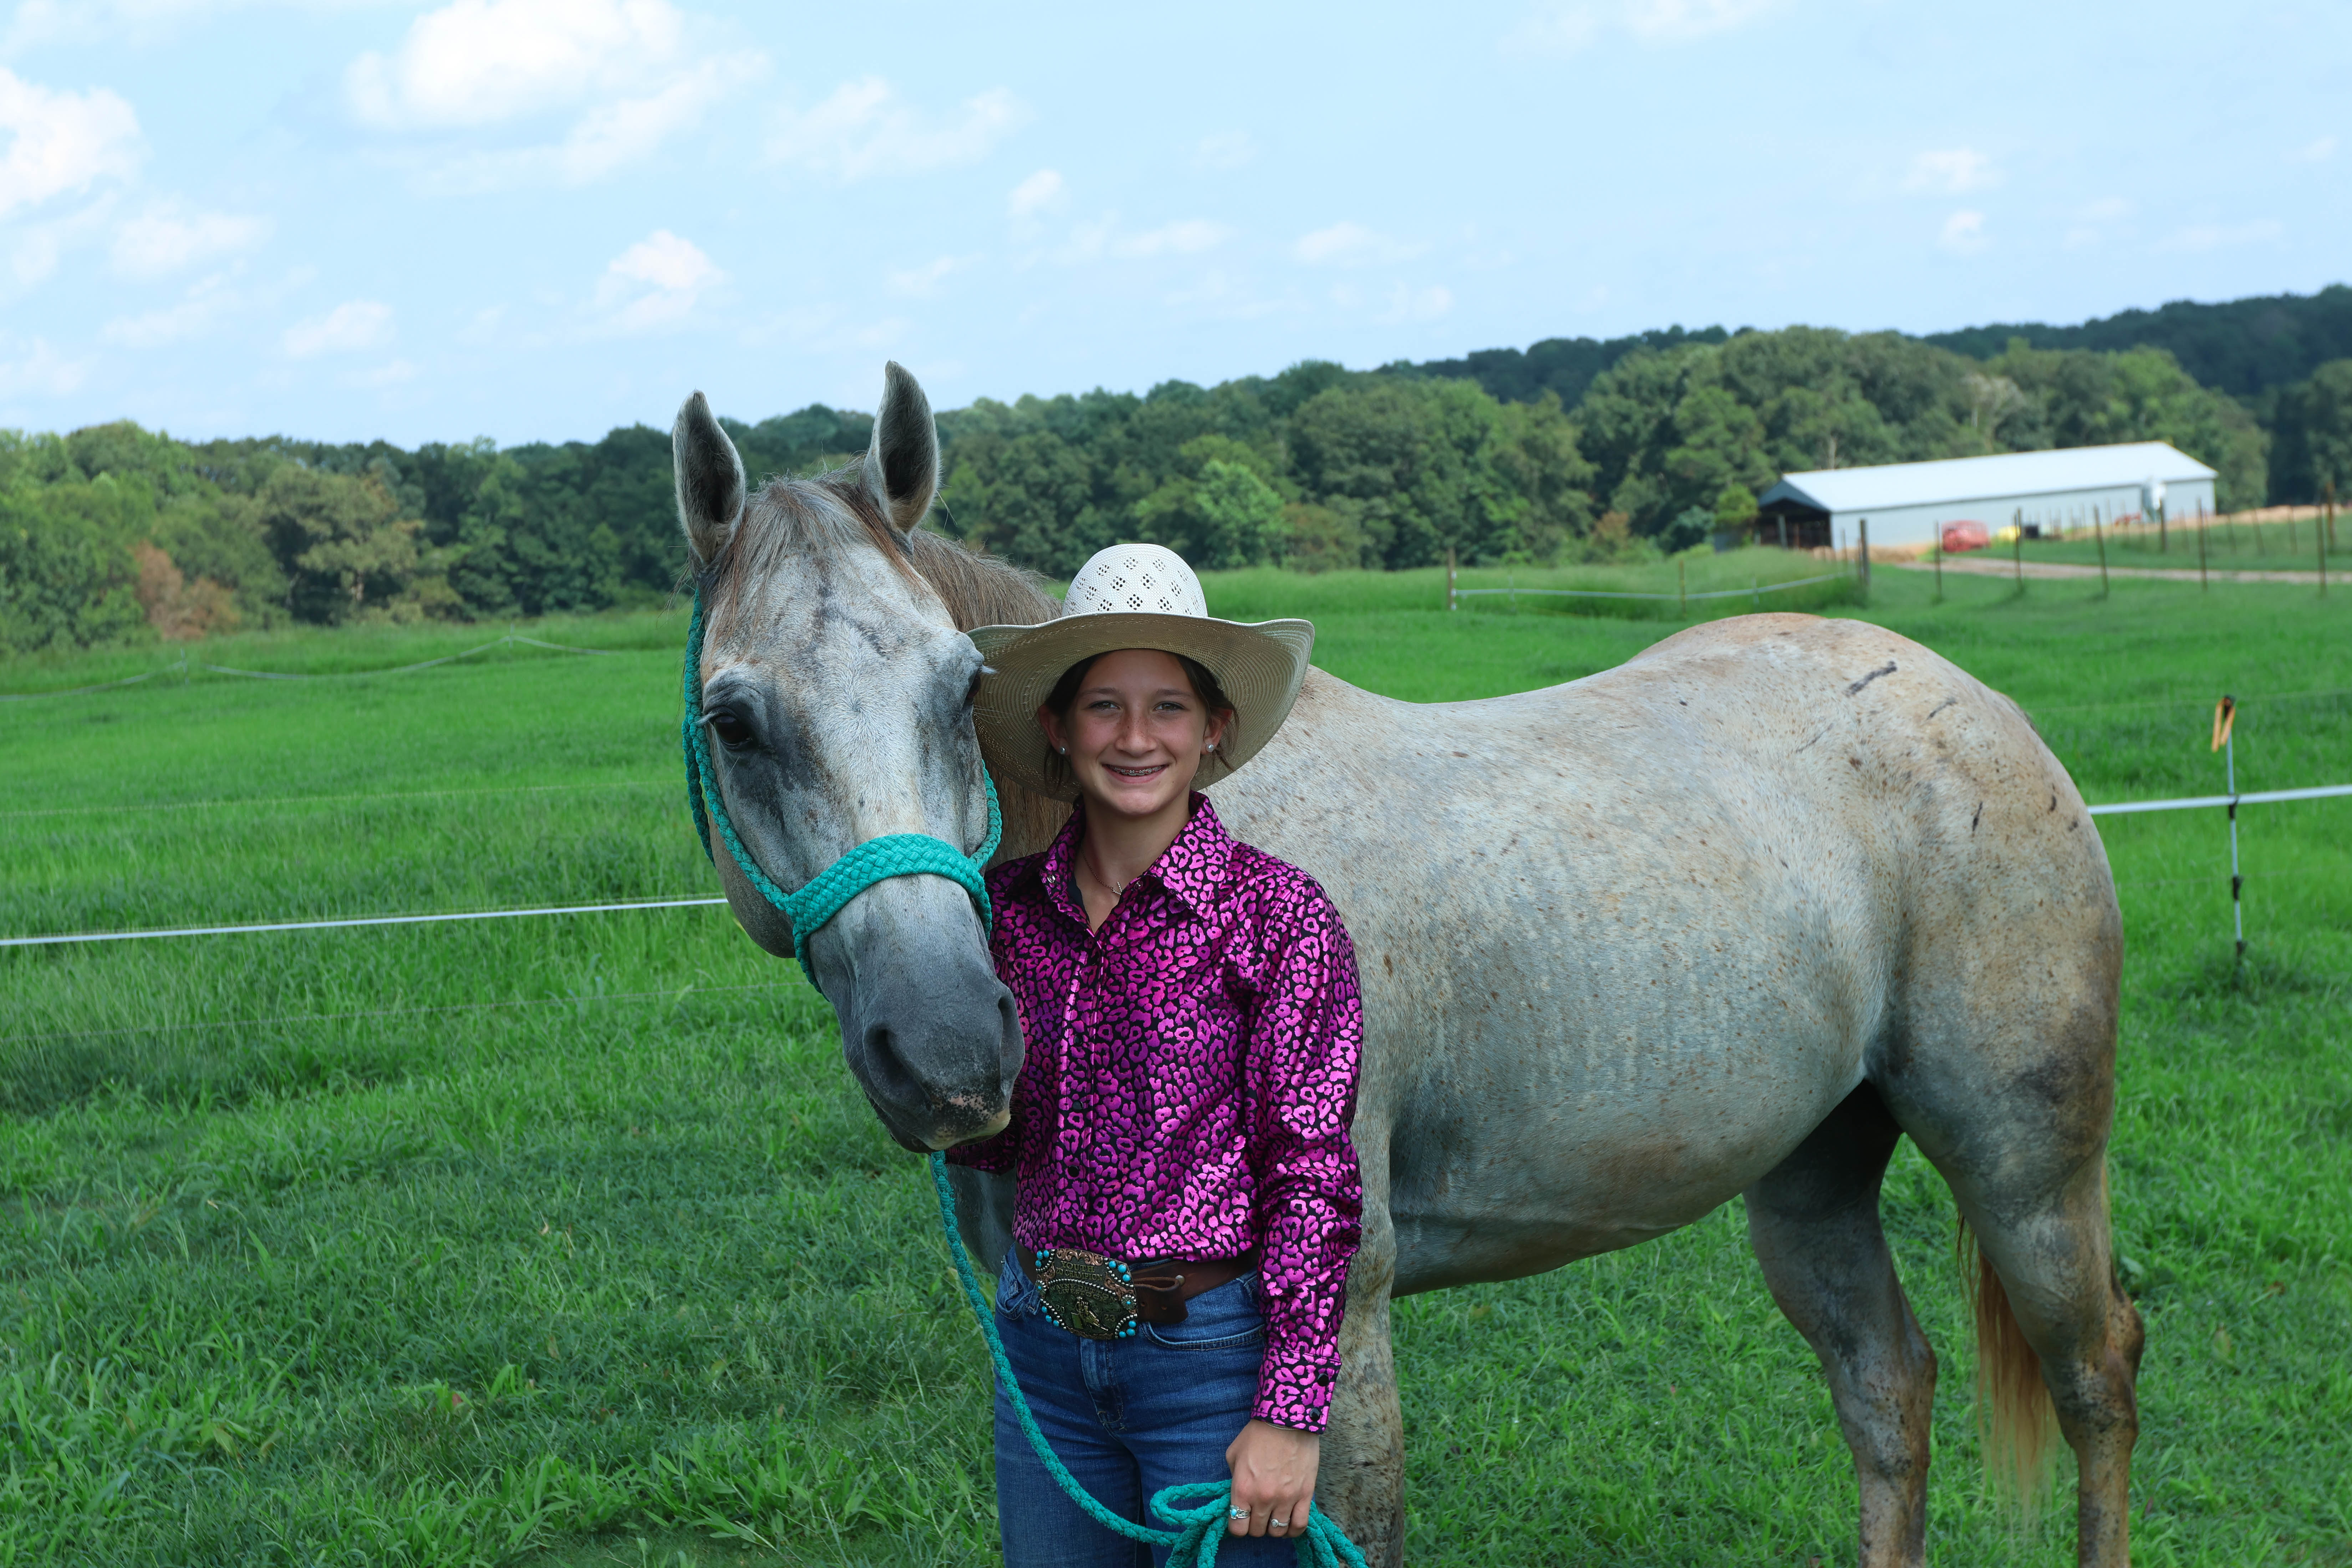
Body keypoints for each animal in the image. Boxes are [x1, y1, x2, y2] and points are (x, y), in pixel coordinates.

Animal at [669, 363, 2144, 1567]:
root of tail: (1979, 707)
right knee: (1888, 1388)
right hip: (1814, 1172)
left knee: (2095, 1378)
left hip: (2023, 1168)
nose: (950, 1050)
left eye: (959, 686)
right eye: (734, 721)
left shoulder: (1339, 1335)